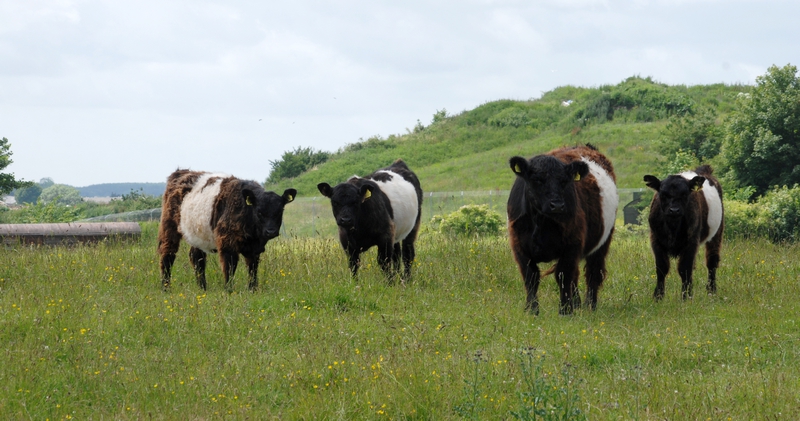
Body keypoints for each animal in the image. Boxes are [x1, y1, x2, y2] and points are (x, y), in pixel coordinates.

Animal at [156, 169, 296, 290]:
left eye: (280, 211)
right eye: (259, 212)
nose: (270, 231)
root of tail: (181, 172)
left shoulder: (255, 248)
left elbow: (252, 268)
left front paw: (252, 289)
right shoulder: (227, 243)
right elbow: (230, 267)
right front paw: (229, 290)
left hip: (196, 235)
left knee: (197, 257)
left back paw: (203, 288)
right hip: (169, 227)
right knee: (168, 255)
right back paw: (166, 287)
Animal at [506, 143, 620, 314]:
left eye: (564, 181)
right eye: (537, 180)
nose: (557, 205)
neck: (541, 222)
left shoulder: (571, 245)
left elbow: (563, 275)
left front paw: (565, 311)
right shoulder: (519, 246)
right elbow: (531, 277)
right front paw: (532, 310)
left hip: (602, 242)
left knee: (593, 272)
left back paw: (590, 306)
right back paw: (578, 304)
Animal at [644, 163, 724, 298]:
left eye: (685, 194)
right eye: (663, 194)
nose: (674, 210)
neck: (672, 227)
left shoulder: (691, 242)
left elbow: (684, 269)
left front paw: (686, 296)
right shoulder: (655, 240)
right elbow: (661, 268)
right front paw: (658, 296)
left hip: (717, 233)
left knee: (712, 261)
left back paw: (711, 291)